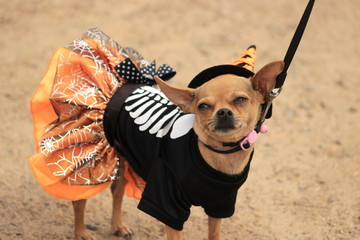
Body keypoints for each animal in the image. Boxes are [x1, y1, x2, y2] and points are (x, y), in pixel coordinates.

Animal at [70, 54, 284, 240]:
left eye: (240, 99)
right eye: (203, 106)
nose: (223, 112)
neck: (218, 155)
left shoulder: (220, 205)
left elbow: (214, 234)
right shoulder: (168, 206)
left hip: (125, 159)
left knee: (117, 191)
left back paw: (118, 226)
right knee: (79, 202)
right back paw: (81, 232)